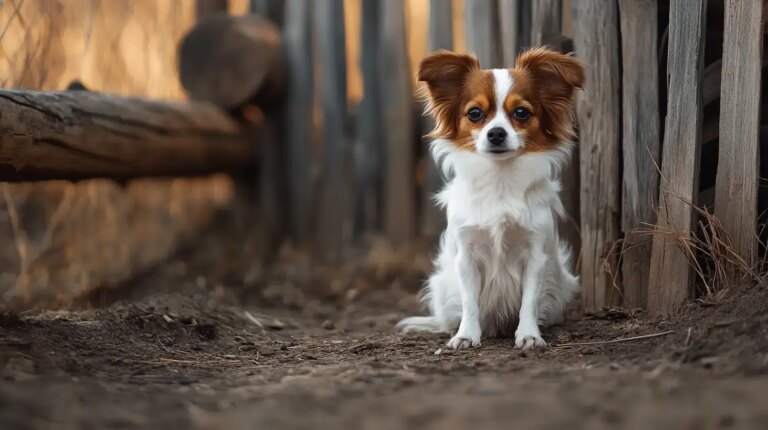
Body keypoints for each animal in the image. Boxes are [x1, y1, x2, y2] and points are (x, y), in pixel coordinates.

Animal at [396, 47, 584, 350]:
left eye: (521, 113)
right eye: (474, 113)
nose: (496, 133)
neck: (500, 180)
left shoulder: (535, 255)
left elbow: (529, 301)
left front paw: (529, 334)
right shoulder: (467, 257)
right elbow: (470, 302)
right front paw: (466, 335)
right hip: (443, 285)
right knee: (446, 316)